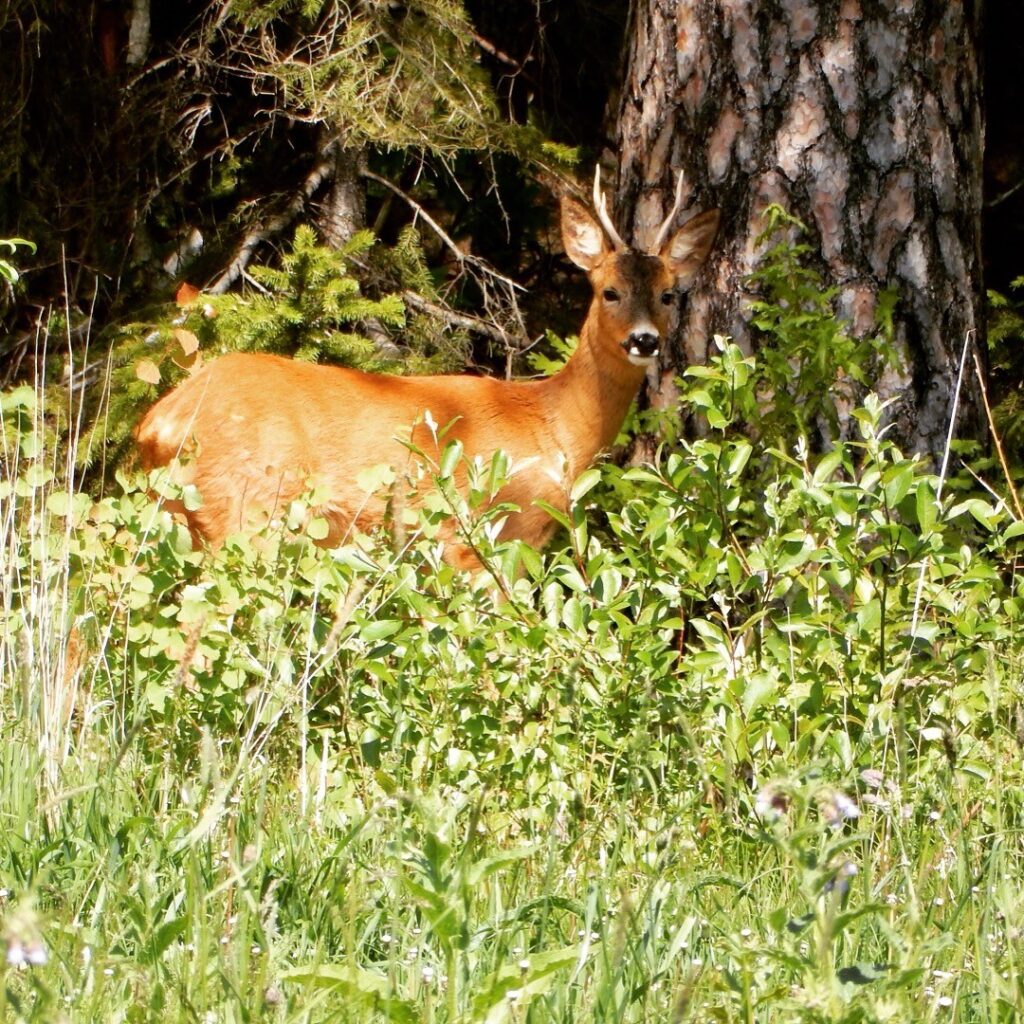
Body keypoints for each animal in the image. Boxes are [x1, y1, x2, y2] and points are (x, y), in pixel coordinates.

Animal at [136, 171, 720, 565]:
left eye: (668, 294)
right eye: (609, 291)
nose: (644, 340)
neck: (551, 428)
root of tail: (160, 423)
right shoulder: (478, 538)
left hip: (179, 519)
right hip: (242, 511)